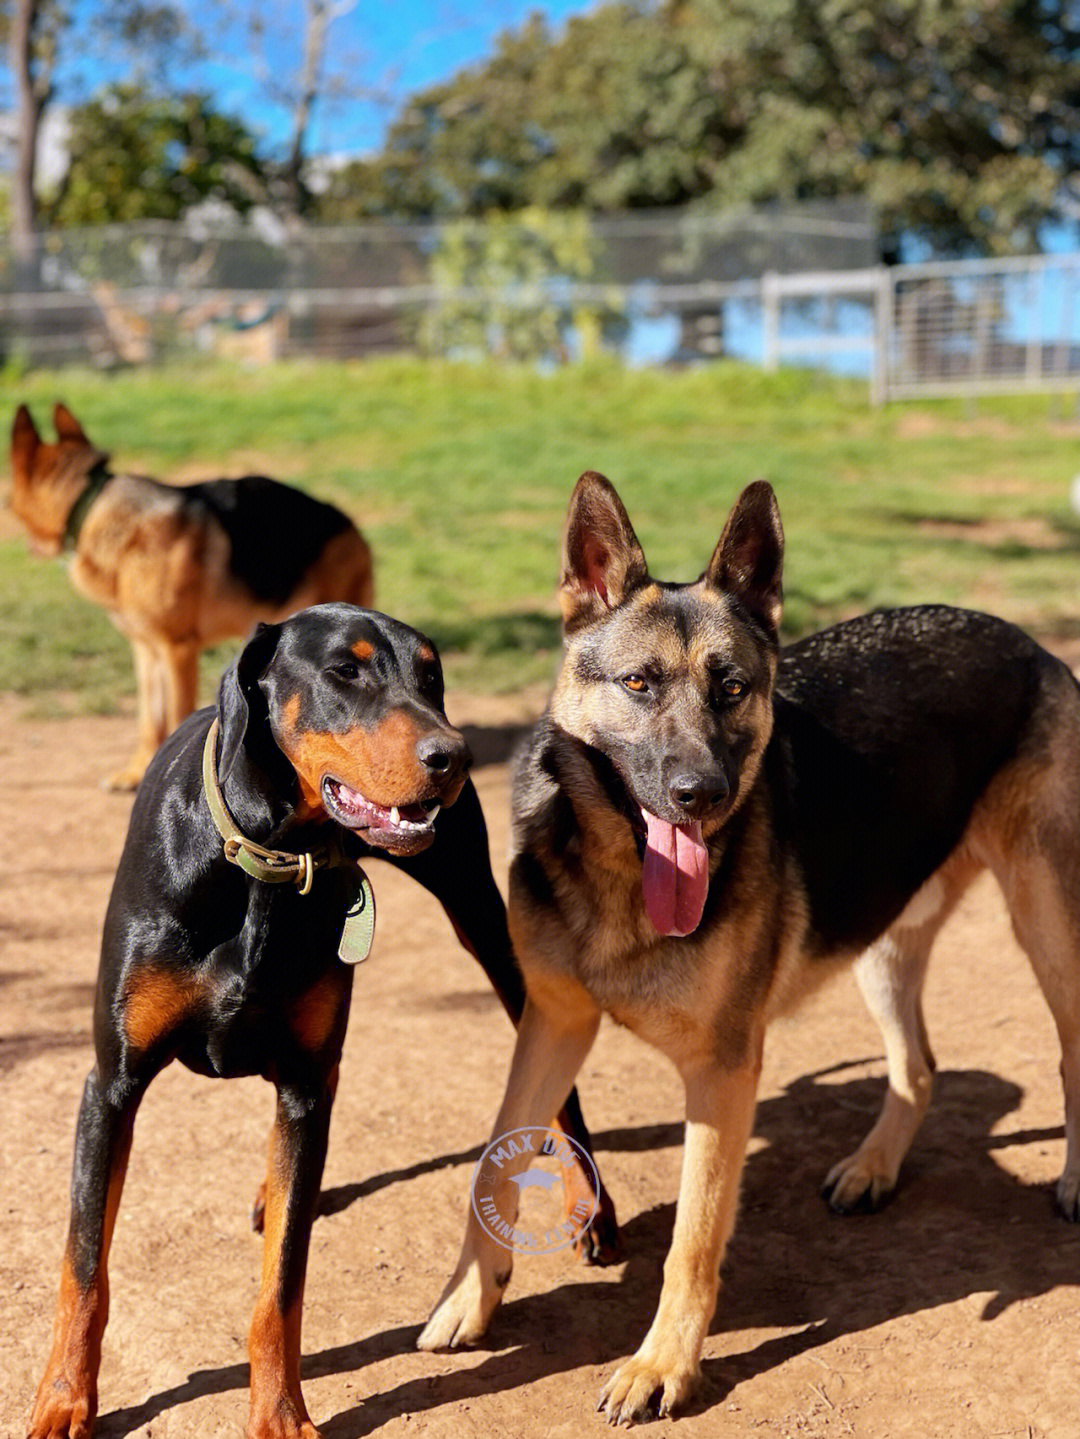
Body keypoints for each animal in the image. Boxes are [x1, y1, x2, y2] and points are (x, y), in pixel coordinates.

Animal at [9, 402, 376, 788]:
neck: (92, 505)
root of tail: (351, 525)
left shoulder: (177, 650)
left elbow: (174, 715)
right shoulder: (147, 651)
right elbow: (149, 718)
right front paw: (136, 772)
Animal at [417, 474, 1080, 1427]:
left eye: (731, 687)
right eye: (639, 682)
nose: (704, 793)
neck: (623, 878)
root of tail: (1025, 638)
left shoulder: (724, 1071)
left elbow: (692, 1238)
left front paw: (663, 1364)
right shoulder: (552, 1023)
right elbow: (492, 1163)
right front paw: (470, 1297)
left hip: (1044, 919)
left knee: (1067, 1050)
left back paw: (1072, 1182)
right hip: (880, 942)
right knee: (918, 1066)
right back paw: (874, 1167)